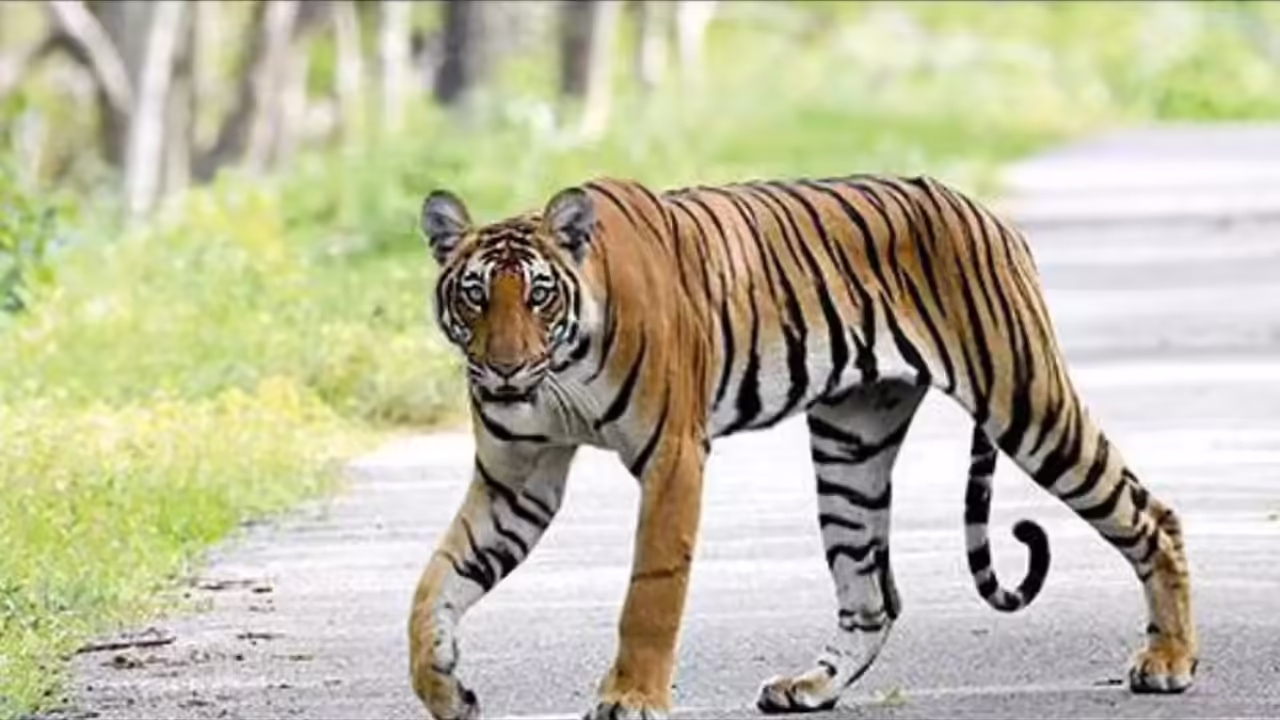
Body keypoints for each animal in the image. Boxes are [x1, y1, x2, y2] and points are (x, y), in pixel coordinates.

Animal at [407, 174, 1197, 720]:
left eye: (539, 295)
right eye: (475, 295)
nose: (505, 369)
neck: (559, 372)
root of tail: (984, 210)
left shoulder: (673, 459)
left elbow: (650, 593)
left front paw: (631, 698)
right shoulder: (518, 479)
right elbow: (435, 585)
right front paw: (446, 691)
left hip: (1027, 403)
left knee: (1149, 514)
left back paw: (1169, 661)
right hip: (851, 446)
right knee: (873, 594)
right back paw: (810, 686)